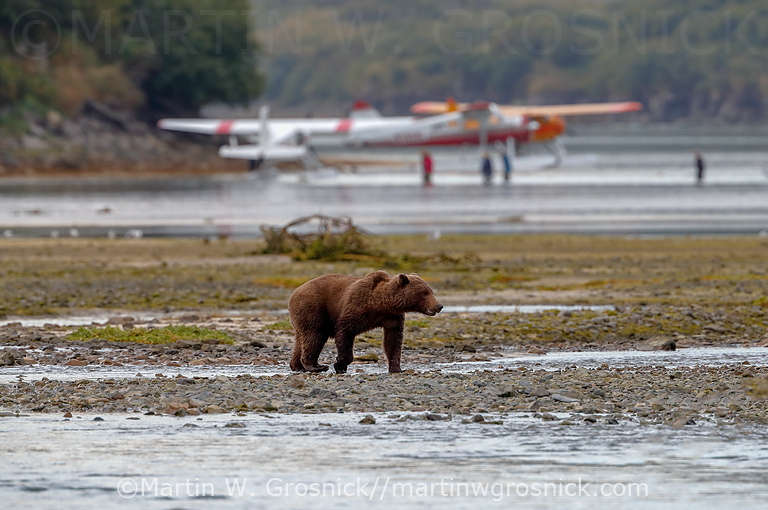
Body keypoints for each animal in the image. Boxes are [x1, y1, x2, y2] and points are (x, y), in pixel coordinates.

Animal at [288, 271, 443, 374]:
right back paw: (316, 366)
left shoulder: (392, 318)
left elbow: (393, 341)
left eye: (430, 291)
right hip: (313, 309)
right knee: (314, 336)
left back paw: (297, 366)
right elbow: (345, 332)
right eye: (424, 292)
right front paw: (339, 365)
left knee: (301, 340)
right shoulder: (356, 308)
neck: (380, 303)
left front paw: (397, 368)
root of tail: (294, 293)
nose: (439, 306)